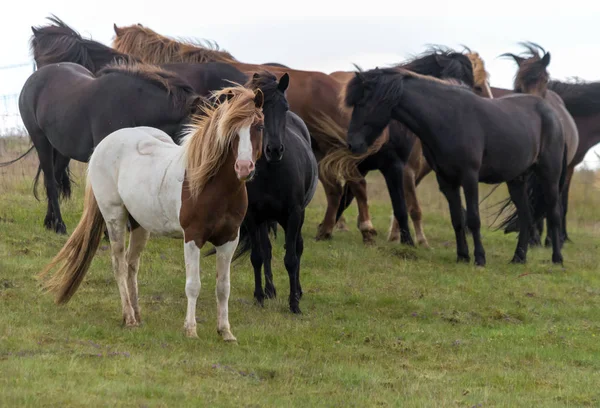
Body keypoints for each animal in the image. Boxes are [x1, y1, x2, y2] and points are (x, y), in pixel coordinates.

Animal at [15, 61, 199, 234]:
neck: (132, 106)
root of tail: (33, 79)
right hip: (41, 141)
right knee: (51, 184)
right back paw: (59, 225)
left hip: (62, 150)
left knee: (56, 180)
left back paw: (49, 222)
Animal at [37, 85, 262, 342]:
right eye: (231, 130)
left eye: (259, 126)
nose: (243, 168)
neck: (211, 185)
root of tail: (103, 145)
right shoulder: (192, 237)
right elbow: (193, 285)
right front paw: (190, 330)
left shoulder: (229, 239)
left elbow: (223, 288)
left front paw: (225, 332)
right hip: (114, 217)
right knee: (119, 263)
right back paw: (129, 318)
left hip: (140, 225)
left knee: (132, 265)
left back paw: (137, 314)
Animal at [342, 67, 568, 264]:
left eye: (362, 103)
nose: (352, 144)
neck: (448, 118)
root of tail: (554, 115)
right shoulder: (446, 181)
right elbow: (457, 220)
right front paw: (462, 256)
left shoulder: (469, 177)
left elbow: (473, 219)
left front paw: (479, 258)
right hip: (516, 180)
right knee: (526, 216)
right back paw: (518, 258)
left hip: (549, 175)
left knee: (554, 214)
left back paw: (557, 259)